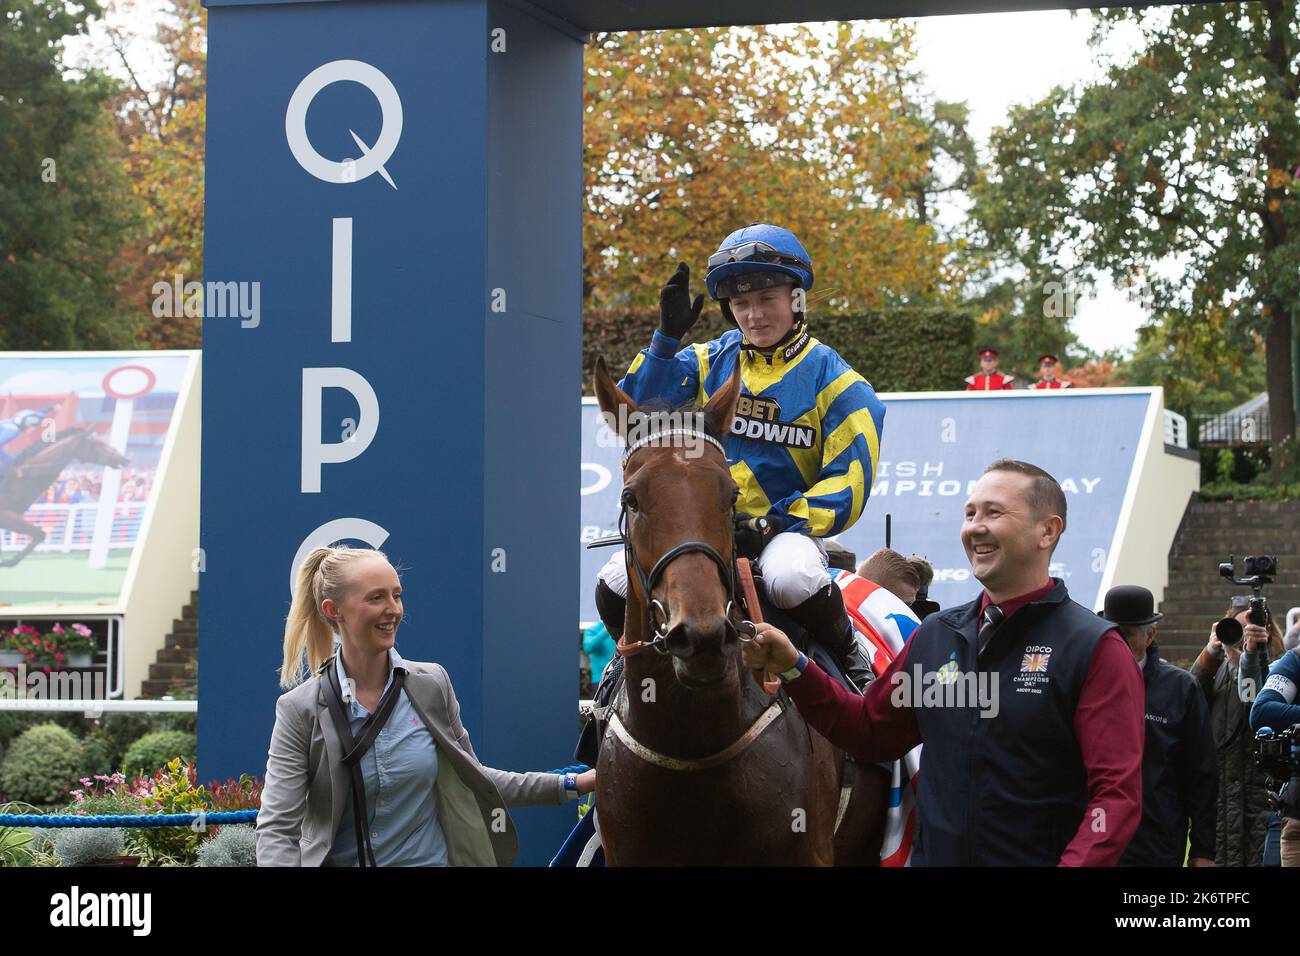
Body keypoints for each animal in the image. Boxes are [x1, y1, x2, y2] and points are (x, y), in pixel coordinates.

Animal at [0, 429, 130, 567]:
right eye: (97, 444)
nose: (125, 459)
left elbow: (40, 535)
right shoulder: (5, 516)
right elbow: (40, 534)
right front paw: (7, 561)